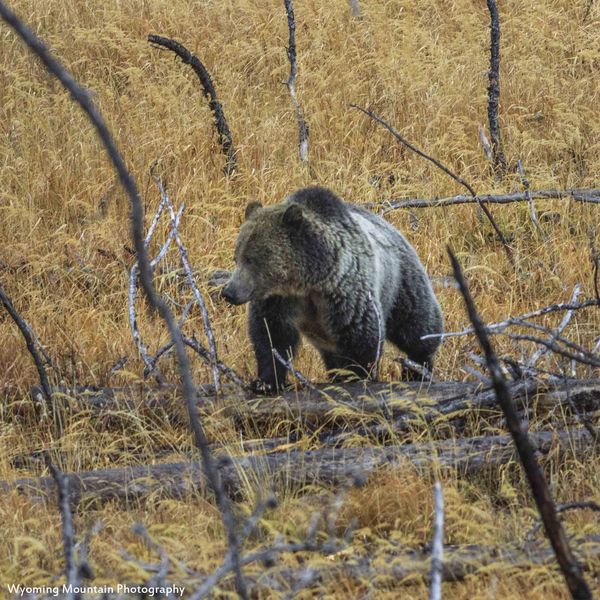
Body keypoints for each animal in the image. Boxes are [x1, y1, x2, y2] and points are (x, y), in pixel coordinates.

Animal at [223, 188, 442, 394]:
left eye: (252, 259)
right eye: (237, 257)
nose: (229, 292)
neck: (307, 282)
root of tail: (393, 228)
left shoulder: (344, 292)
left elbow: (361, 337)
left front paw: (358, 376)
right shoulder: (278, 300)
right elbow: (271, 336)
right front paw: (265, 383)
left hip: (401, 281)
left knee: (417, 325)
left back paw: (417, 369)